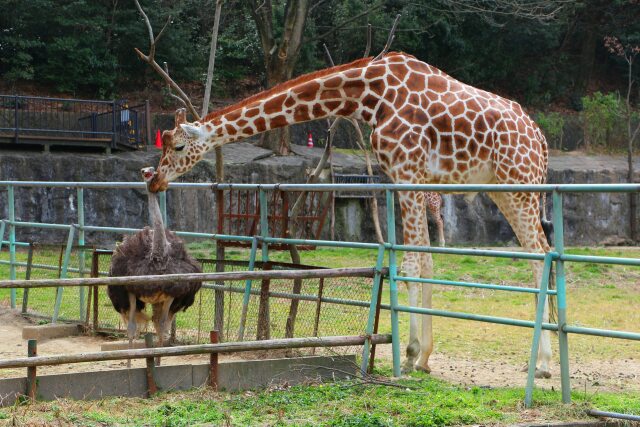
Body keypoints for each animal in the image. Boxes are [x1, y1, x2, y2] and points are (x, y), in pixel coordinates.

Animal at [148, 52, 552, 378]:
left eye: (178, 146)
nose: (155, 180)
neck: (368, 96)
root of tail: (541, 140)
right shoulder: (406, 177)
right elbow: (424, 261)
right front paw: (423, 358)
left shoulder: (408, 172)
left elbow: (413, 263)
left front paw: (409, 354)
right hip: (502, 188)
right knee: (541, 252)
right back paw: (540, 360)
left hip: (519, 183)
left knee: (540, 255)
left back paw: (544, 365)